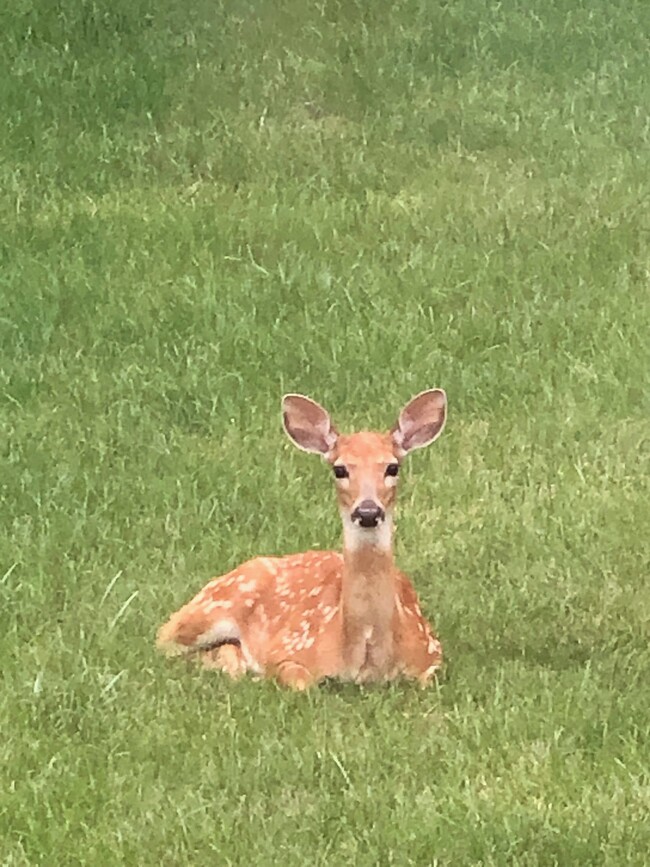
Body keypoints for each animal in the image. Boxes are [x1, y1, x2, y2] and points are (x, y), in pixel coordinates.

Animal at [157, 390, 446, 688]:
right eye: (340, 470)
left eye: (392, 467)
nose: (368, 511)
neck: (367, 654)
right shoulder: (289, 648)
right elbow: (300, 682)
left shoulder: (432, 652)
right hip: (212, 606)